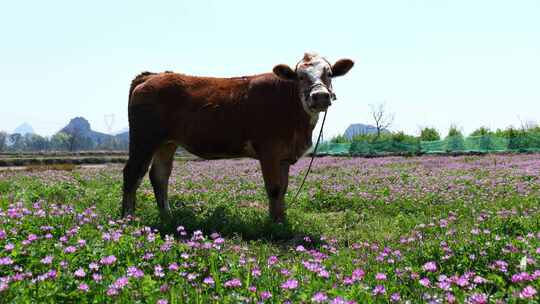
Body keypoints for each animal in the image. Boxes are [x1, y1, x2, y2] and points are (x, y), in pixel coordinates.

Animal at [122, 52, 354, 223]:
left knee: (159, 176)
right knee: (132, 173)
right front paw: (274, 225)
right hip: (144, 139)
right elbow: (274, 188)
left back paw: (167, 216)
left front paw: (281, 220)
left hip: (167, 143)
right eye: (300, 76)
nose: (320, 96)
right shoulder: (269, 151)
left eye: (329, 73)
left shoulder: (284, 156)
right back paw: (127, 219)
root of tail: (152, 76)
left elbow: (283, 189)